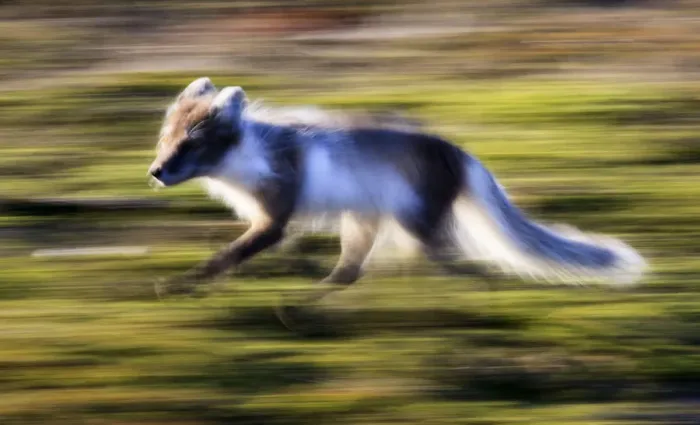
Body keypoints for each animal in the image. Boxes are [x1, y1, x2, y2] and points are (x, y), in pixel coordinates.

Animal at [148, 77, 647, 298]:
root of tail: (462, 154)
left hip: (413, 219)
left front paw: (179, 284)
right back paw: (310, 298)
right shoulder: (275, 220)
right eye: (166, 139)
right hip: (366, 219)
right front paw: (294, 266)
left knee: (444, 260)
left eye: (190, 145)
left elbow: (226, 256)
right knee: (352, 272)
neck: (250, 153)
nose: (155, 172)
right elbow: (274, 250)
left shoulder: (274, 217)